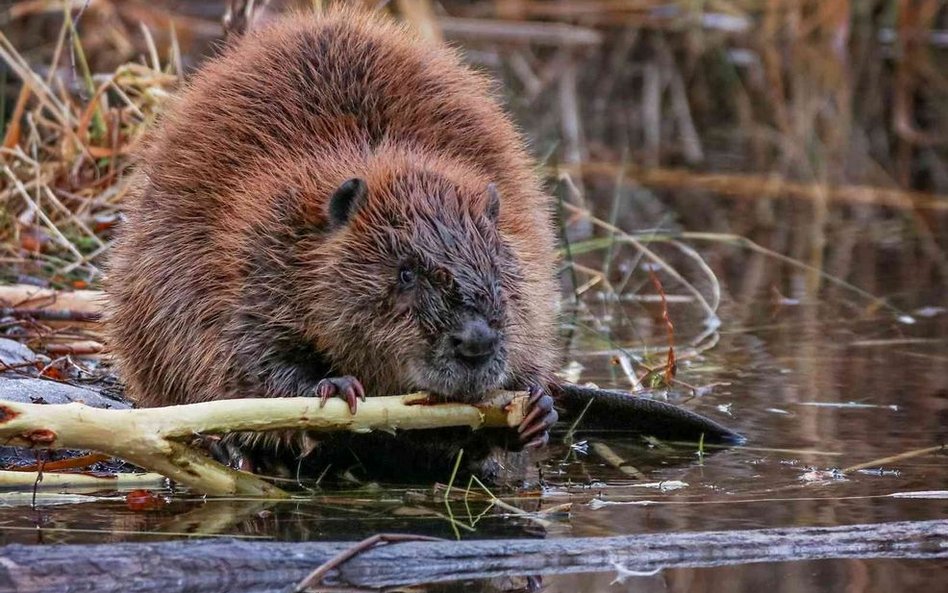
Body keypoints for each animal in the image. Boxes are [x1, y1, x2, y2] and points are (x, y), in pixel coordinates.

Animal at [107, 5, 560, 476]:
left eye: (497, 272)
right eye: (406, 273)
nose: (476, 342)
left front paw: (535, 409)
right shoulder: (251, 252)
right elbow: (241, 352)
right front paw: (335, 386)